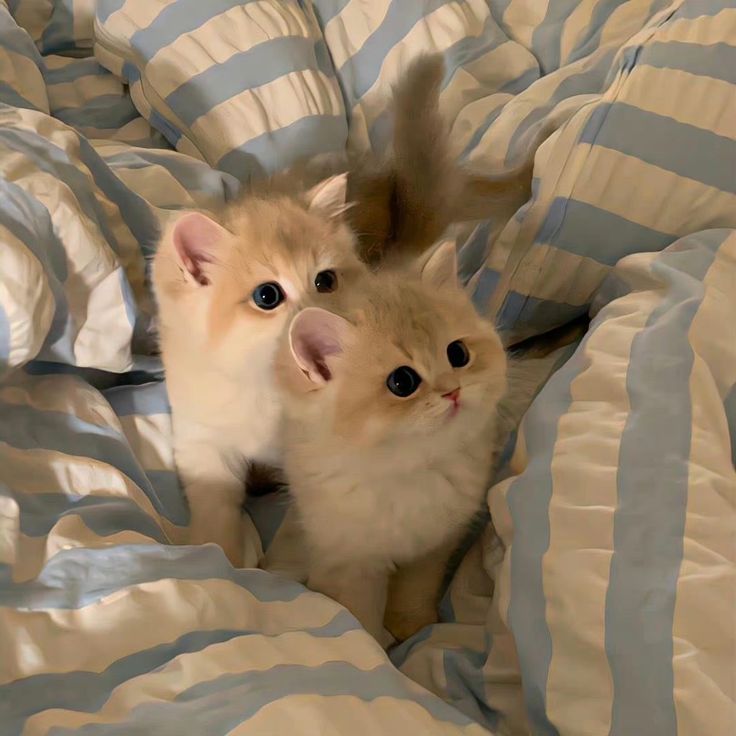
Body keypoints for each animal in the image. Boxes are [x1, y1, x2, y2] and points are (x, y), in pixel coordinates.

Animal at [153, 175, 368, 568]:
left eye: (325, 281)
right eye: (267, 296)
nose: (316, 317)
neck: (266, 386)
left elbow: (298, 530)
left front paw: (278, 571)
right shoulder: (202, 440)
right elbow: (214, 509)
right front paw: (219, 561)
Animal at [274, 243, 508, 644]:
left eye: (458, 354)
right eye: (402, 382)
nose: (453, 391)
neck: (411, 469)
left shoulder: (431, 549)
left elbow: (415, 591)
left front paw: (410, 627)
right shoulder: (351, 564)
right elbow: (358, 615)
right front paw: (374, 648)